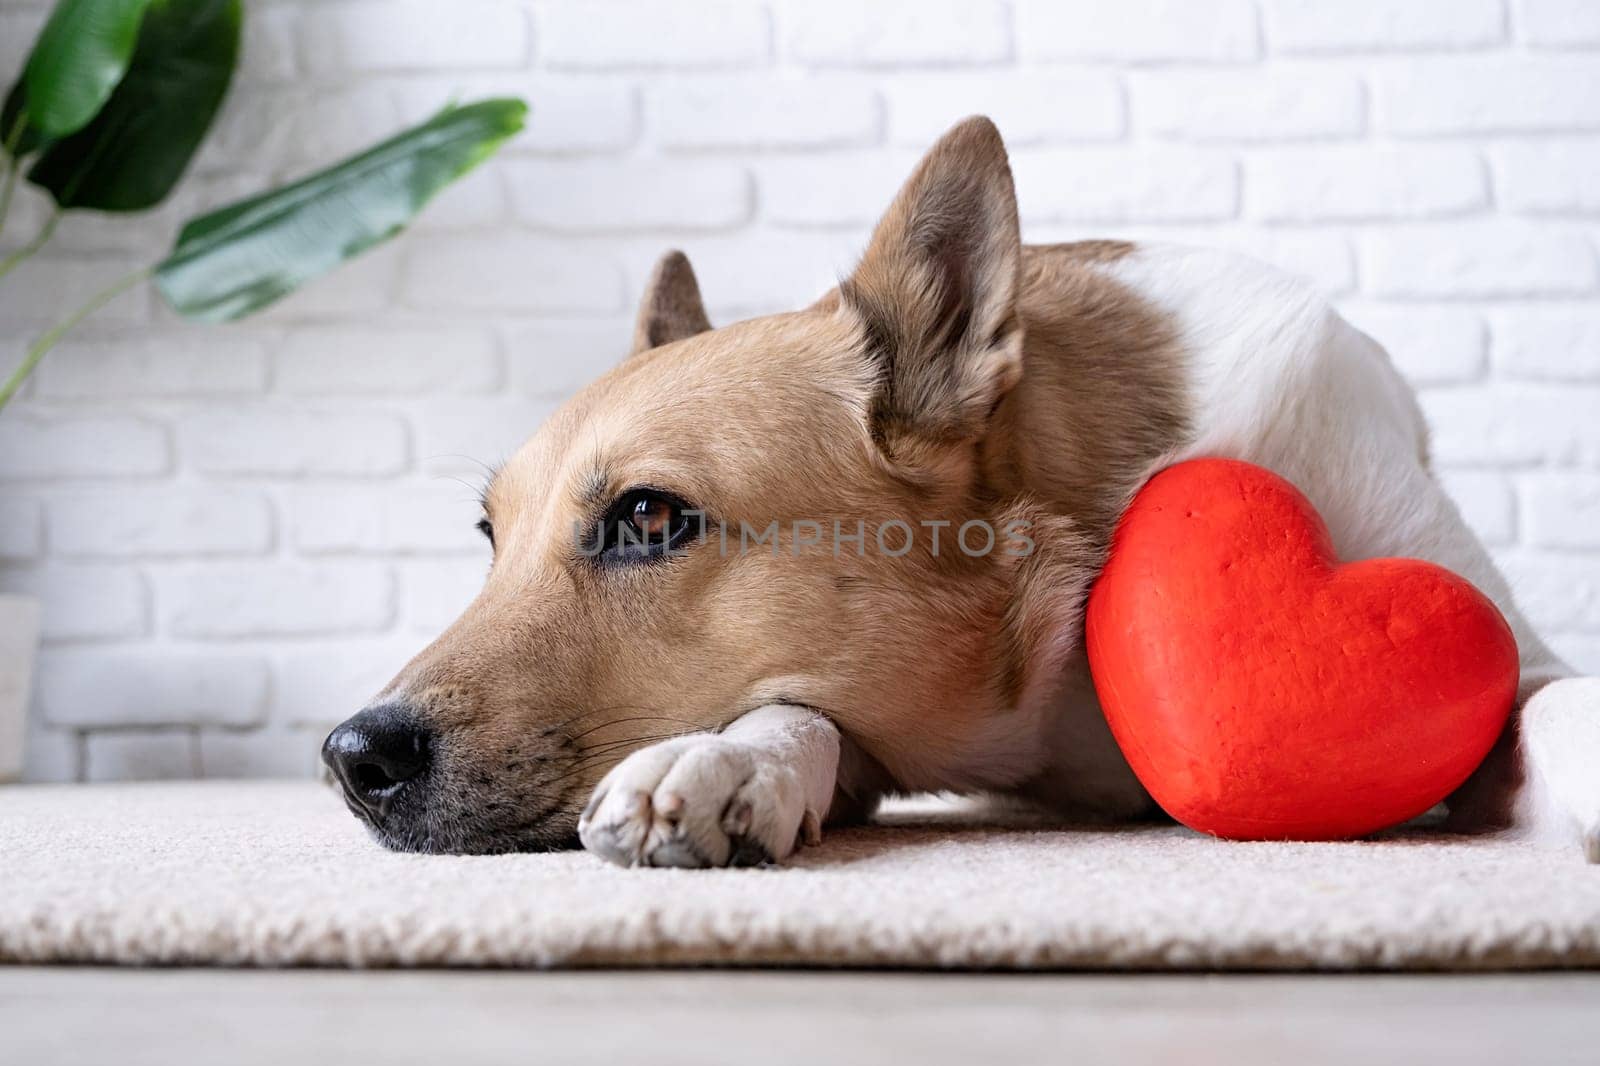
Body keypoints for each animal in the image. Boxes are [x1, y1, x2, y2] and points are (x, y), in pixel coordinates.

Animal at [321, 116, 1600, 864]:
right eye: (488, 533)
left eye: (646, 516)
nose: (348, 757)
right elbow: (796, 710)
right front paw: (725, 761)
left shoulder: (1500, 649)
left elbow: (1551, 702)